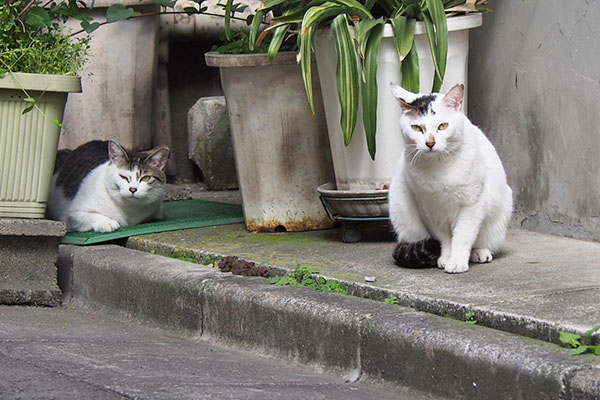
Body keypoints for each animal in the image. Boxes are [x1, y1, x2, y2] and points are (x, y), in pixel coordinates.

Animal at [386, 83, 512, 274]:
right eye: (417, 128)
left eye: (443, 126)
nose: (430, 143)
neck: (440, 167)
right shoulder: (430, 209)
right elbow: (445, 239)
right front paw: (446, 257)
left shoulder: (472, 204)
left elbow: (463, 236)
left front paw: (458, 261)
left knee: (479, 241)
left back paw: (479, 252)